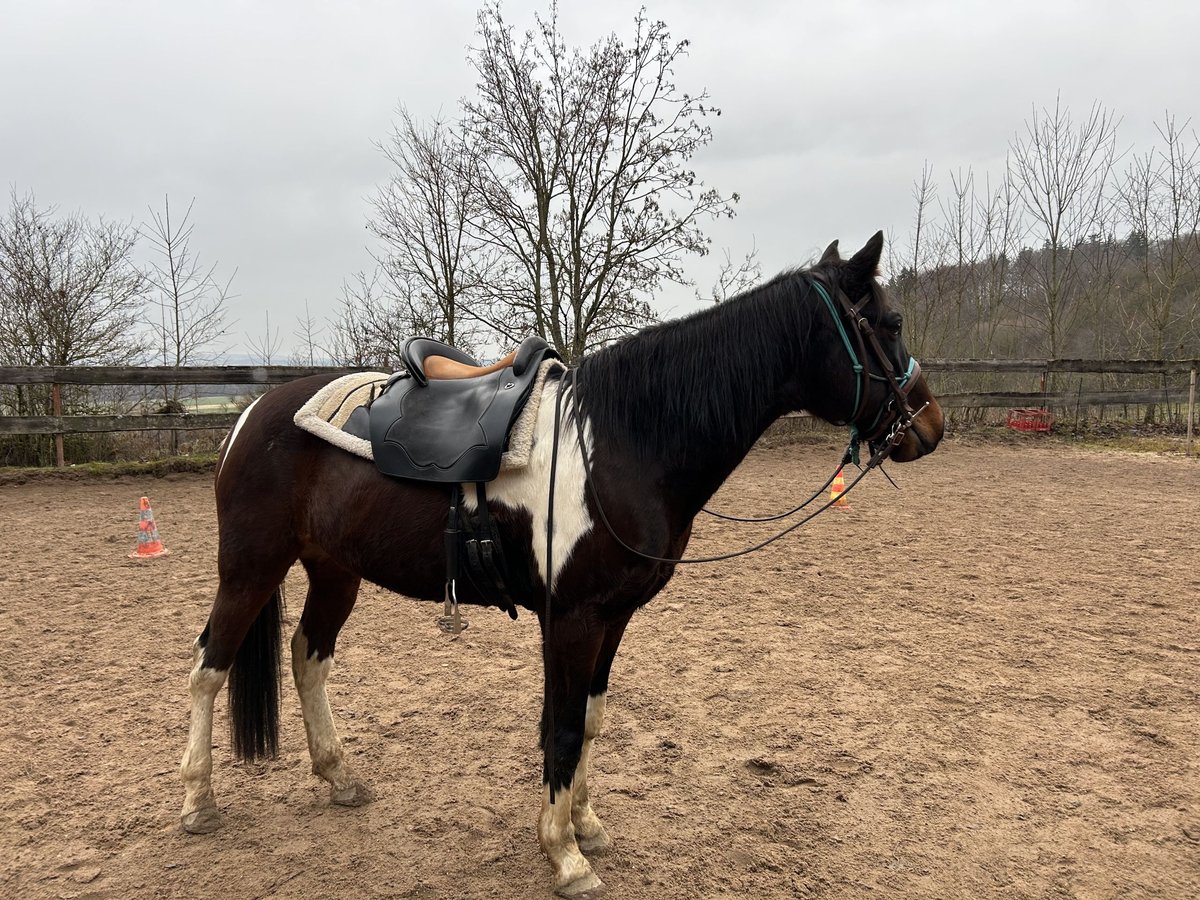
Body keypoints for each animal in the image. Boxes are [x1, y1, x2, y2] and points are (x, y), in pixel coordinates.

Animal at [179, 232, 944, 896]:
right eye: (889, 321)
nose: (930, 426)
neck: (625, 441)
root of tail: (253, 412)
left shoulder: (614, 617)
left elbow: (590, 719)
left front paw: (586, 825)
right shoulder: (572, 618)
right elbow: (565, 724)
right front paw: (566, 857)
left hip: (335, 571)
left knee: (308, 658)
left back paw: (339, 778)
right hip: (251, 567)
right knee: (209, 667)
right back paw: (197, 802)